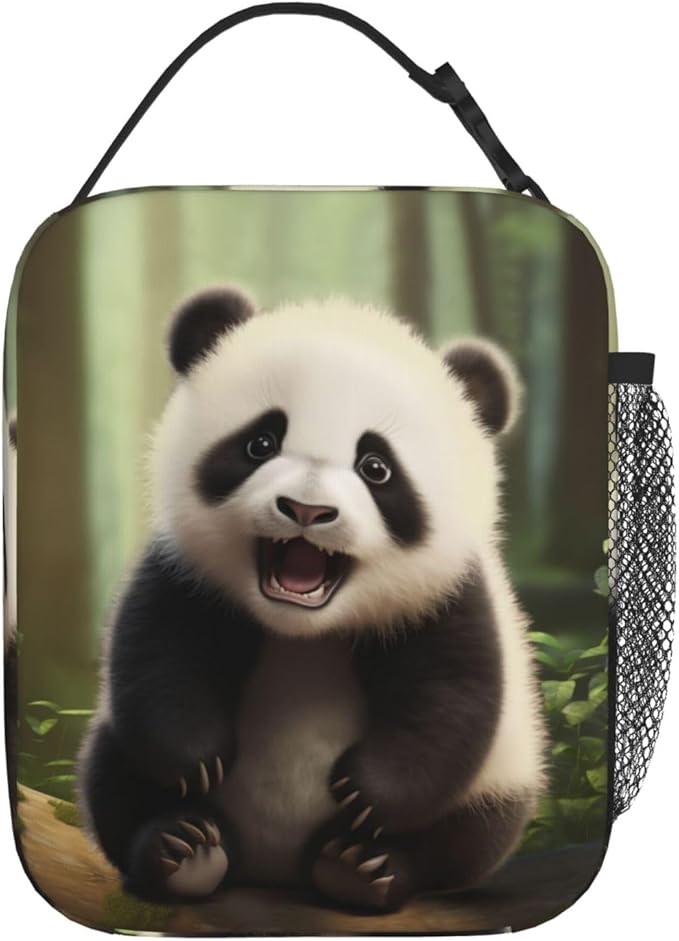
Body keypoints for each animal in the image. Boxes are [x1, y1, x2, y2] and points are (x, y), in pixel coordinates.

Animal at [78, 288, 546, 913]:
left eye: (376, 467)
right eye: (260, 442)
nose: (306, 510)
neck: (303, 630)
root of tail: (272, 868)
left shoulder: (448, 593)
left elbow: (452, 696)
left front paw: (366, 792)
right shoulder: (185, 572)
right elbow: (156, 653)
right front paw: (197, 757)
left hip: (500, 776)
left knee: (469, 834)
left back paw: (360, 867)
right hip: (122, 752)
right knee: (114, 779)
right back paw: (183, 849)